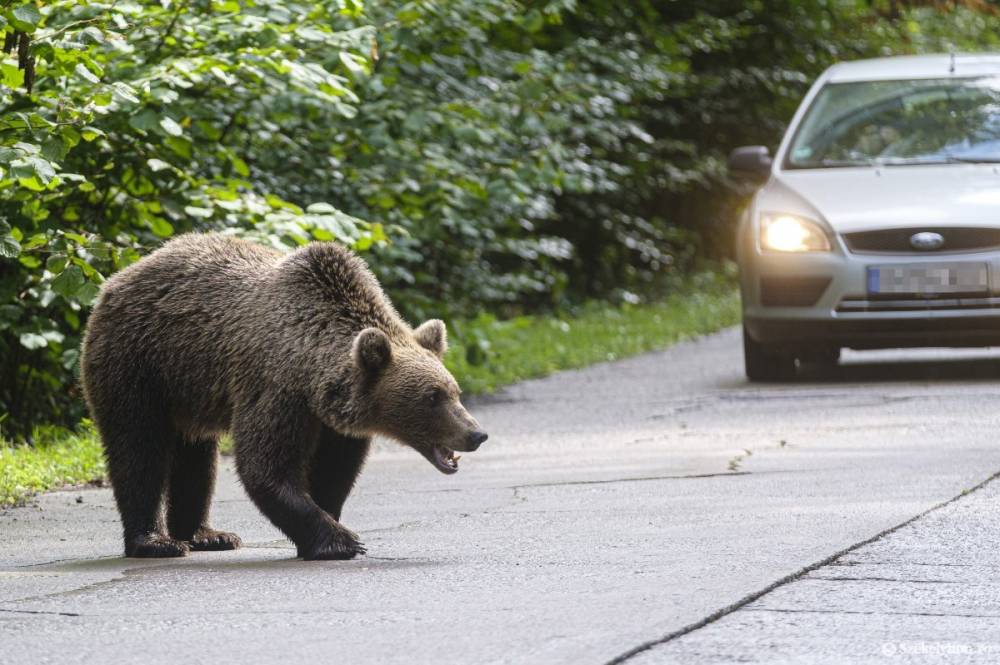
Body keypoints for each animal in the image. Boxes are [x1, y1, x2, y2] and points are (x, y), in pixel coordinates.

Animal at [78, 232, 484, 556]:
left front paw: (328, 521)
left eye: (455, 391)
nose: (476, 433)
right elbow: (265, 466)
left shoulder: (332, 418)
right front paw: (339, 540)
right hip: (139, 363)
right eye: (432, 397)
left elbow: (335, 469)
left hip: (188, 387)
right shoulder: (275, 386)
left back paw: (207, 534)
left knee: (196, 456)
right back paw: (155, 541)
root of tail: (116, 280)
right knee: (138, 447)